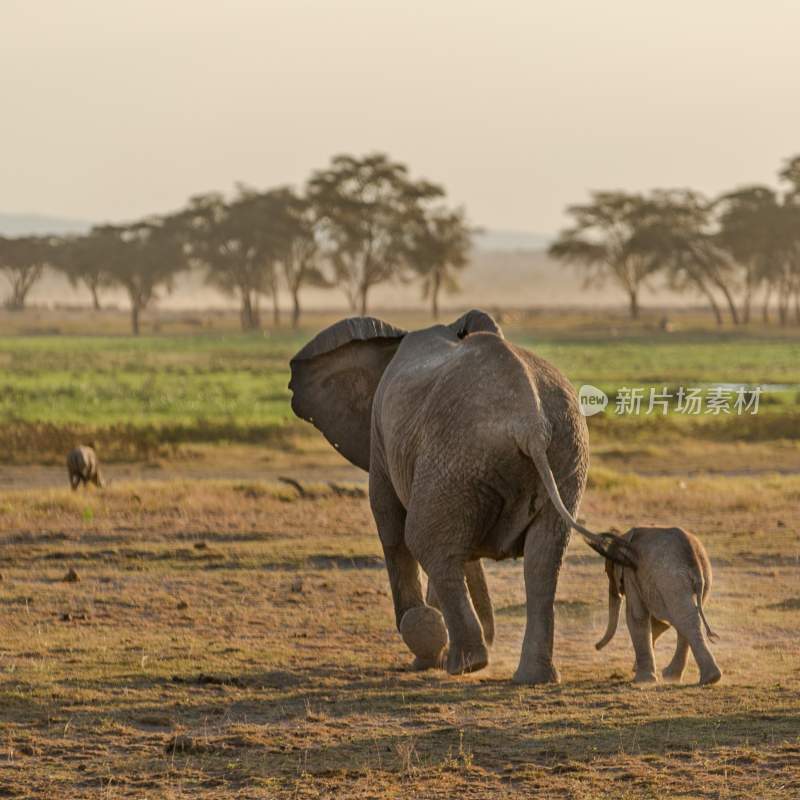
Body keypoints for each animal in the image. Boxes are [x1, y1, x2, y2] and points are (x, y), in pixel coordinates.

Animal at [288, 310, 632, 684]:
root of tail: (530, 422)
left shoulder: (381, 436)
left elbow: (391, 527)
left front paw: (425, 654)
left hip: (459, 457)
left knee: (427, 541)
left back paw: (467, 664)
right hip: (556, 454)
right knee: (543, 557)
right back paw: (530, 676)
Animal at [596, 524, 720, 688]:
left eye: (607, 571)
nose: (596, 646)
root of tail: (695, 562)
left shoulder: (631, 573)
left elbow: (636, 616)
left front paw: (643, 680)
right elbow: (661, 622)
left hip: (671, 580)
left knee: (683, 620)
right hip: (702, 579)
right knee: (687, 619)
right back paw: (699, 677)